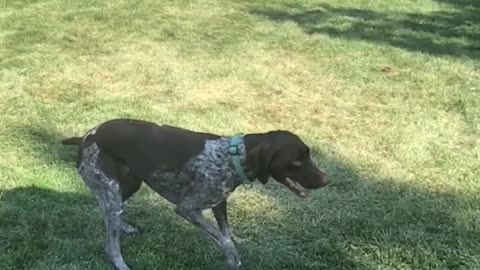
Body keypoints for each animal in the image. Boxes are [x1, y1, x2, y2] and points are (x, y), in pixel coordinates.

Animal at [61, 118, 330, 270]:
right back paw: (120, 262)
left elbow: (226, 235)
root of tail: (85, 136)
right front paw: (232, 256)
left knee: (107, 210)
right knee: (111, 243)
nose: (327, 180)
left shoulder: (219, 204)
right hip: (113, 190)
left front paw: (232, 254)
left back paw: (124, 226)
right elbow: (223, 239)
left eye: (309, 155)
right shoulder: (188, 209)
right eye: (296, 161)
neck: (233, 155)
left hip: (128, 184)